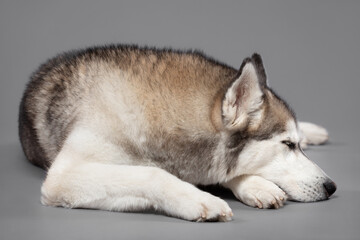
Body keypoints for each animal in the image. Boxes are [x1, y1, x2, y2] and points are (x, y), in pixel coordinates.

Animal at [19, 45, 334, 221]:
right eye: (287, 144)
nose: (331, 187)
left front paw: (255, 185)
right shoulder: (64, 176)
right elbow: (153, 174)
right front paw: (199, 199)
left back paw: (315, 131)